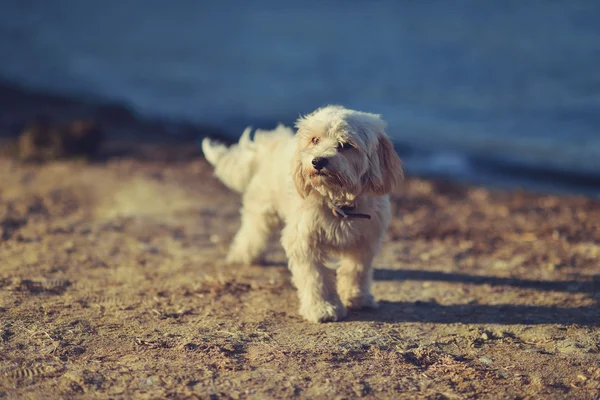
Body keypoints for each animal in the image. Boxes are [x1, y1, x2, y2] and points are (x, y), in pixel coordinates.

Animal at [202, 105, 404, 322]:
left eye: (345, 145)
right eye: (315, 140)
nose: (318, 161)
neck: (337, 202)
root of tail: (271, 143)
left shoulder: (365, 242)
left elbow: (356, 272)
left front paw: (358, 298)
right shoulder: (305, 242)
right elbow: (316, 278)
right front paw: (322, 308)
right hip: (262, 210)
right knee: (252, 233)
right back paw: (244, 255)